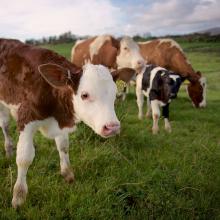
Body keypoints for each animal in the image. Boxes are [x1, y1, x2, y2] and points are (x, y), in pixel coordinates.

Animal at [0, 39, 120, 208]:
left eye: (115, 94)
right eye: (84, 95)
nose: (112, 127)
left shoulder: (60, 120)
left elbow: (63, 147)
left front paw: (67, 174)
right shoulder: (26, 119)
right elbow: (24, 158)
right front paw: (18, 197)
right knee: (4, 125)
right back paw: (9, 149)